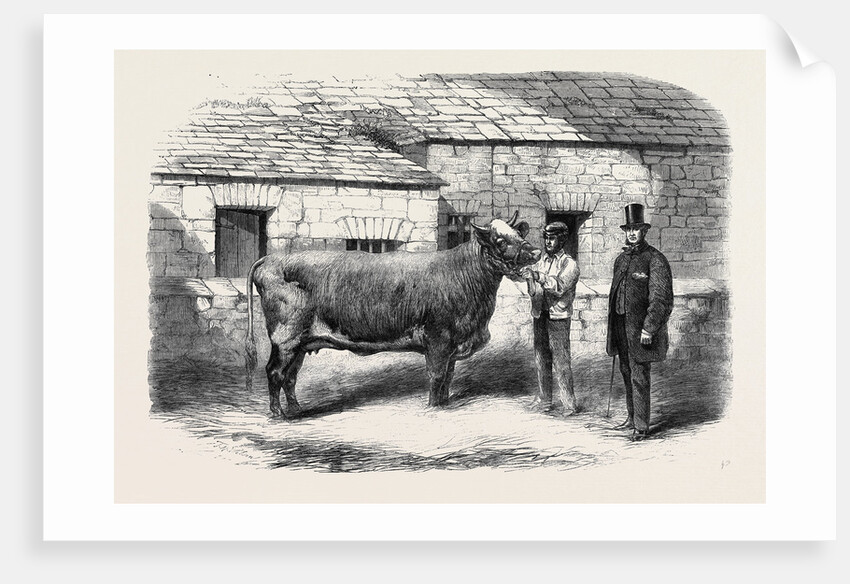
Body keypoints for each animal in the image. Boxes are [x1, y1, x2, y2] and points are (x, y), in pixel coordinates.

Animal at [244, 212, 541, 418]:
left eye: (519, 234)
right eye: (500, 241)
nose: (536, 251)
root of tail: (270, 259)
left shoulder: (452, 345)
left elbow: (447, 377)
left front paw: (443, 405)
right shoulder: (439, 340)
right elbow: (436, 377)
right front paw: (433, 407)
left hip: (302, 343)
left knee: (290, 377)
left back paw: (296, 409)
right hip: (285, 338)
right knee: (274, 373)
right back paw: (278, 413)